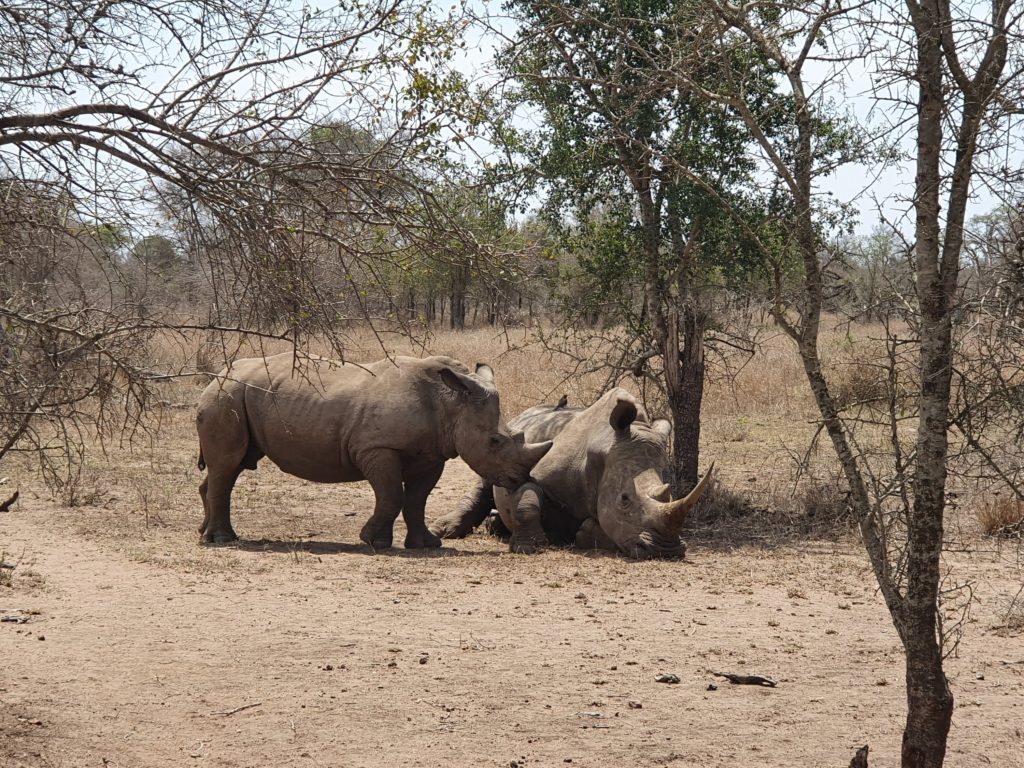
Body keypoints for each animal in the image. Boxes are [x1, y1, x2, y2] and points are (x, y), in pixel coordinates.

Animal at [196, 354, 557, 548]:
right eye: (495, 441)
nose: (520, 477)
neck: (452, 402)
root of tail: (218, 374)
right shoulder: (377, 447)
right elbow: (391, 495)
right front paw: (373, 540)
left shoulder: (431, 454)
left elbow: (416, 500)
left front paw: (425, 544)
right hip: (226, 396)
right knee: (228, 465)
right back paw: (222, 540)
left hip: (236, 396)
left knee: (232, 465)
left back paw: (205, 533)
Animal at [430, 391, 712, 561]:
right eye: (624, 499)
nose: (667, 550)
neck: (604, 448)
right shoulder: (523, 470)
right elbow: (528, 500)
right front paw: (529, 546)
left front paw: (584, 532)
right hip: (501, 445)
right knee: (488, 476)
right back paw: (444, 530)